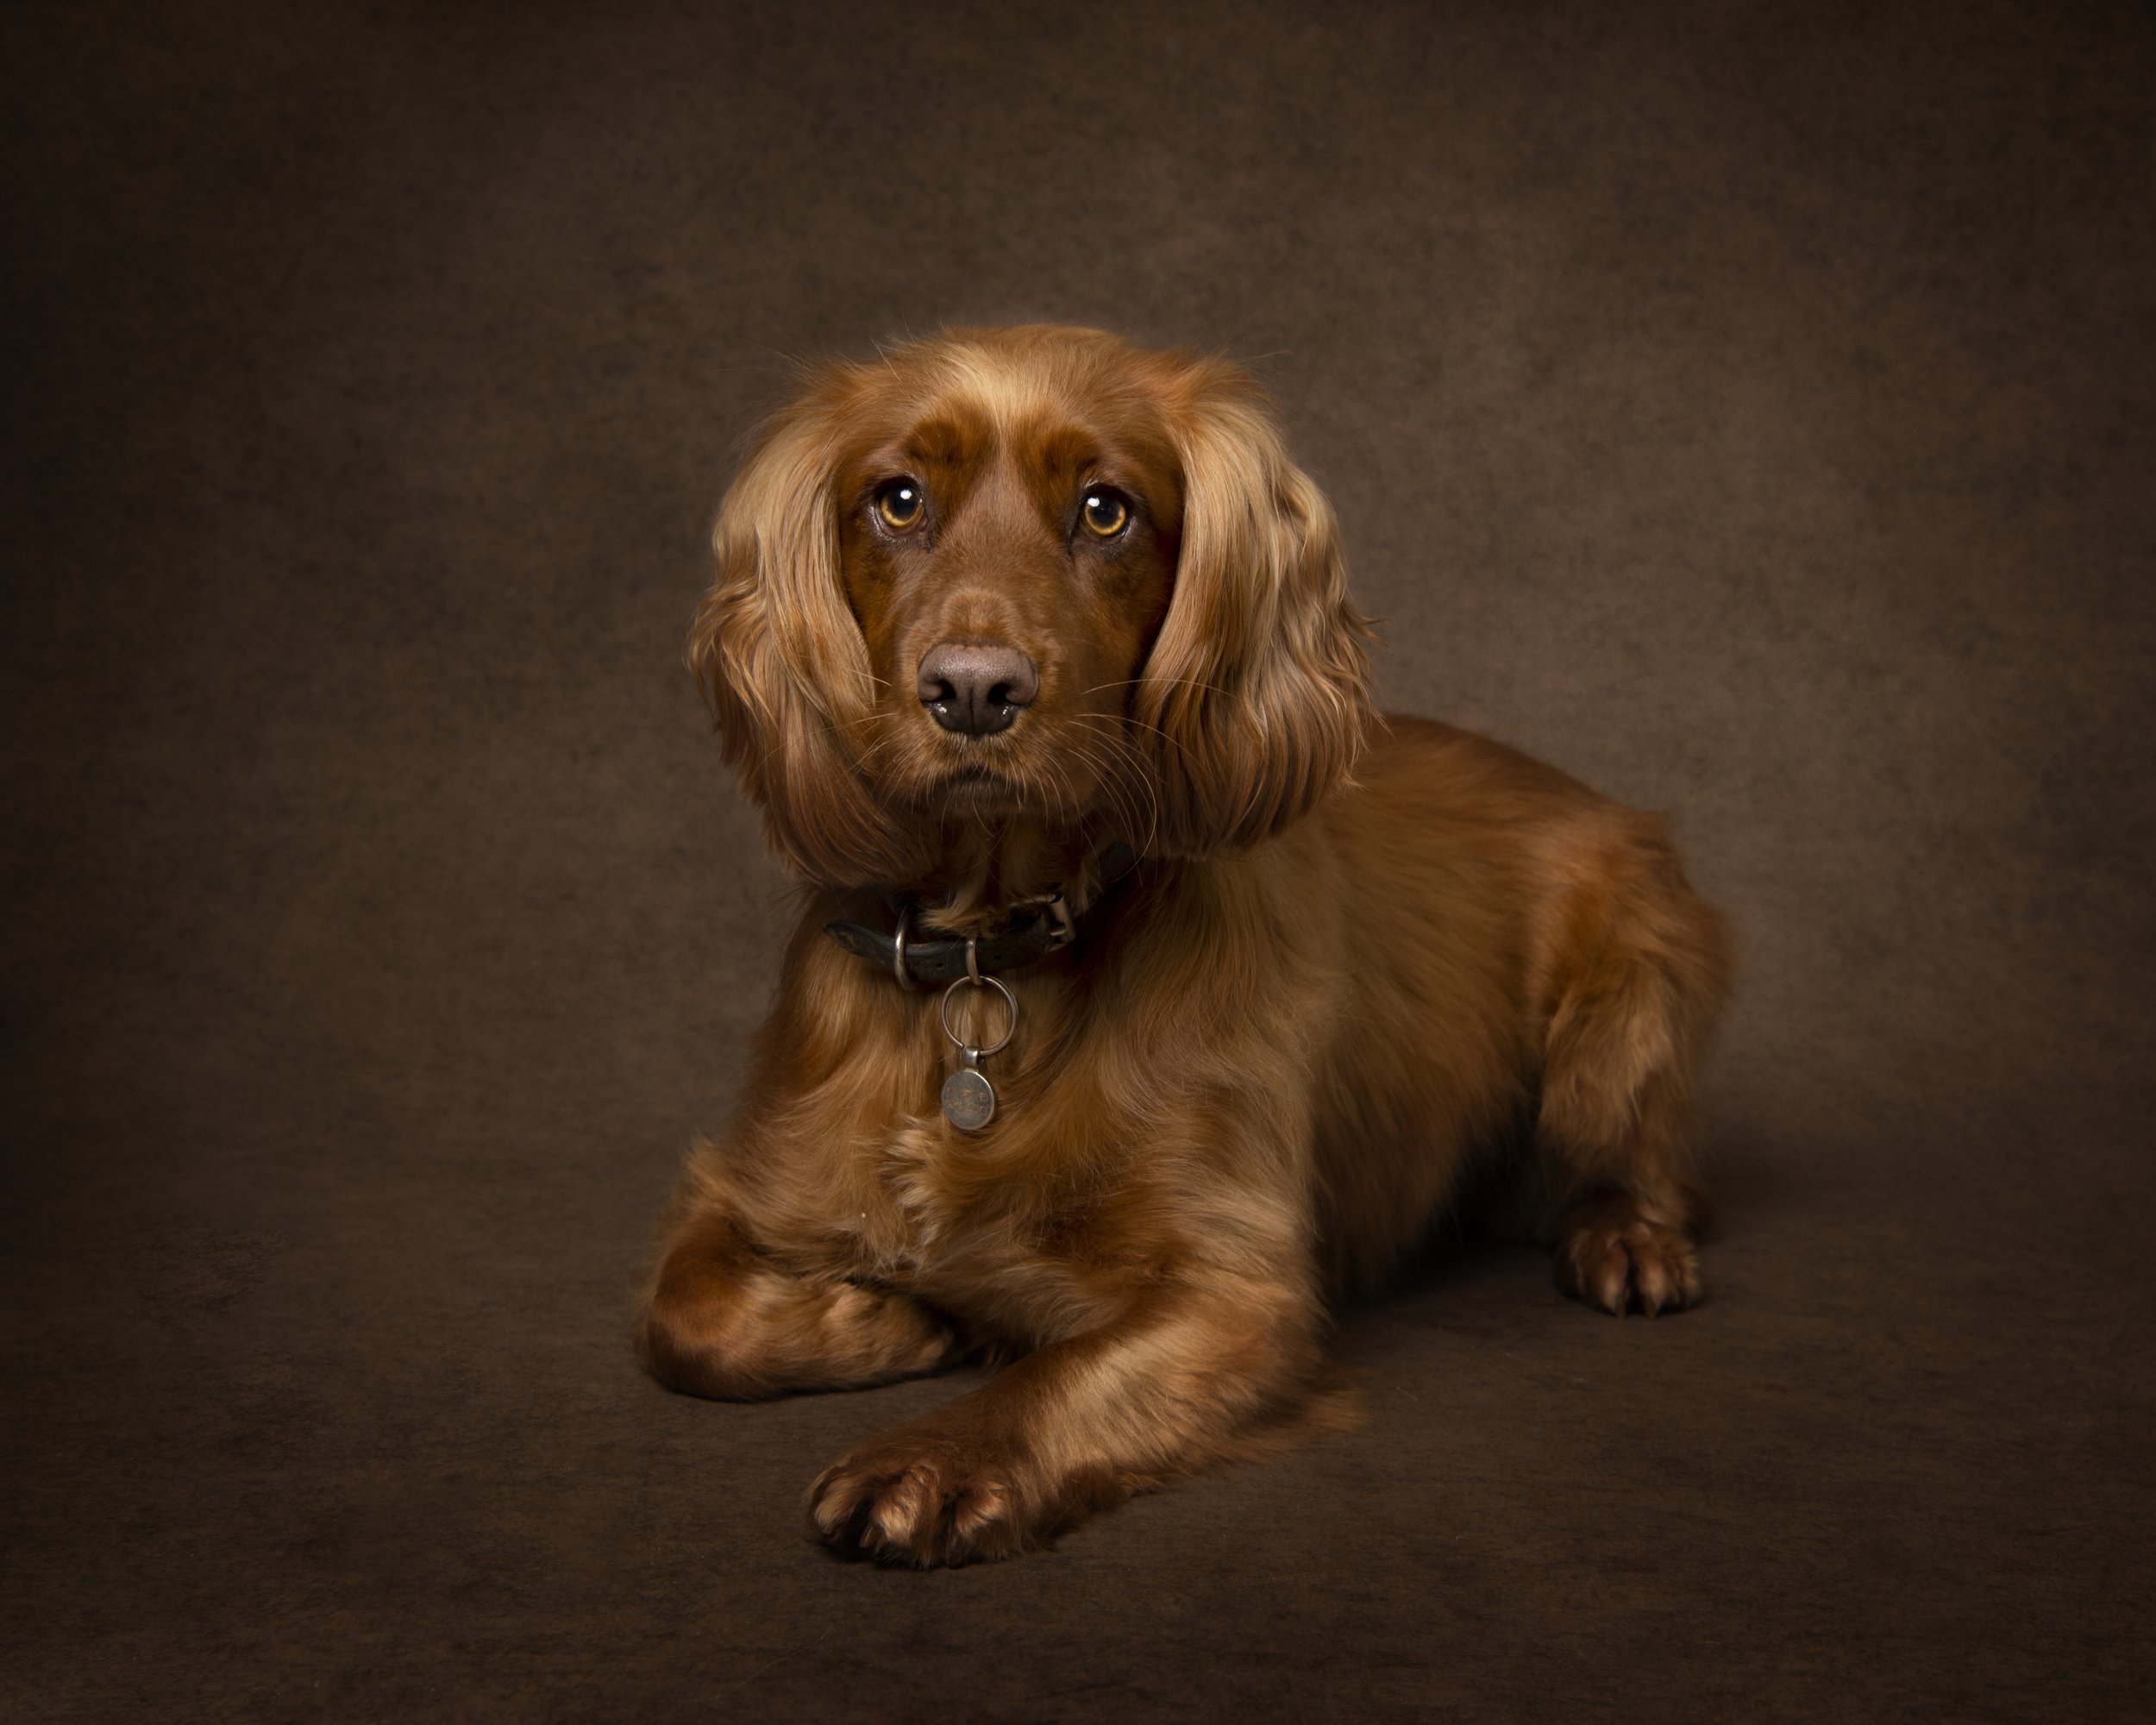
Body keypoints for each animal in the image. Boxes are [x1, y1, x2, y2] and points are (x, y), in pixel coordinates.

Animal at [638, 319, 1733, 1561]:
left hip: (1621, 1006)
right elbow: (684, 1319)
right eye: (899, 499)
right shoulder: (753, 1180)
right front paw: (881, 1320)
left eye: (1106, 509)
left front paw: (930, 1456)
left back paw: (1628, 1243)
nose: (973, 689)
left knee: (1646, 1164)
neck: (991, 956)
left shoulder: (1234, 1291)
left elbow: (1058, 1376)